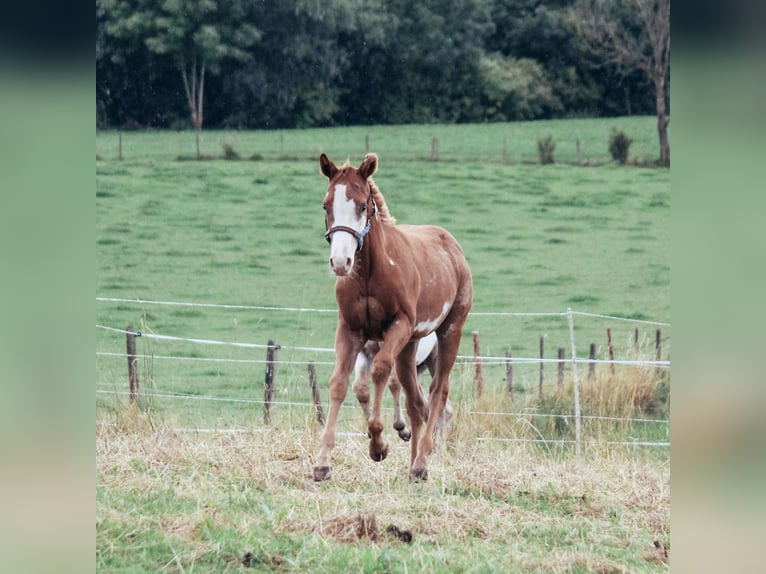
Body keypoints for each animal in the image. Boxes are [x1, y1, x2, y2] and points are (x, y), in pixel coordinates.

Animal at [314, 152, 474, 482]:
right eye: (325, 205)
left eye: (363, 205)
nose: (340, 262)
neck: (370, 274)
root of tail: (452, 246)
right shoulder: (350, 330)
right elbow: (340, 383)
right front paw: (322, 463)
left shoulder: (397, 327)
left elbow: (379, 372)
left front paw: (378, 445)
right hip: (410, 347)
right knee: (416, 402)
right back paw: (413, 465)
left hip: (449, 331)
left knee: (438, 393)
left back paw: (423, 461)